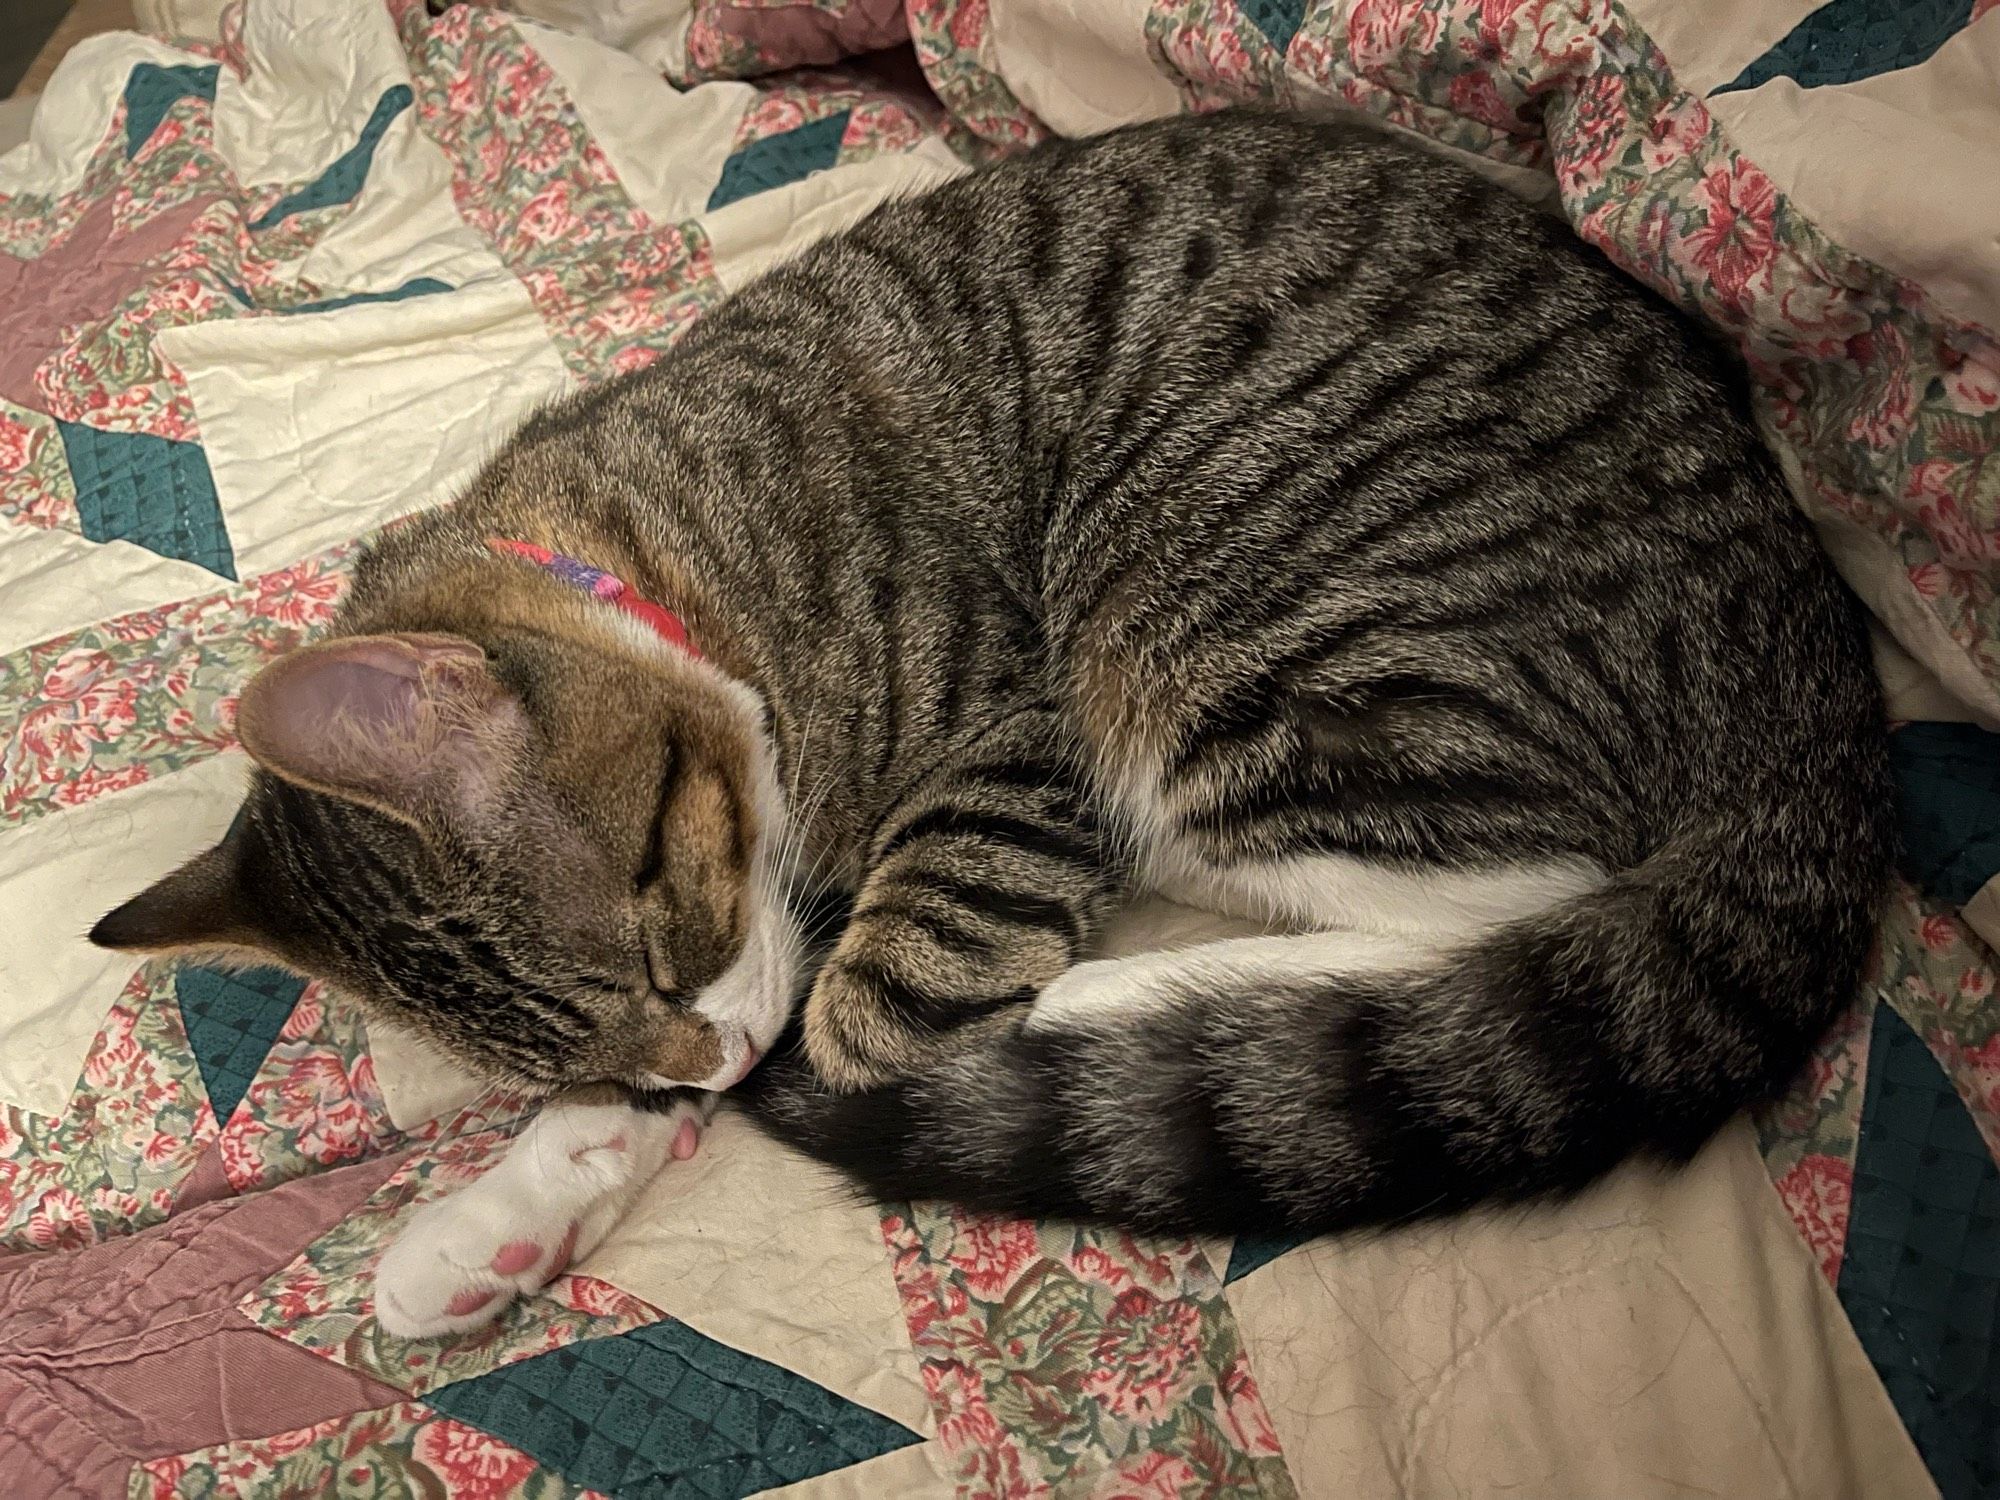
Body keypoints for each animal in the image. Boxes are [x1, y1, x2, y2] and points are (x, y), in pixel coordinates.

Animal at [90, 114, 1888, 1336]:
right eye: (595, 1031)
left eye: (660, 947)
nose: (699, 1058)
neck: (659, 557)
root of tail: (1820, 659)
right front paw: (515, 1210)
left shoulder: (1002, 742)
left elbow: (853, 1024)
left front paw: (757, 1090)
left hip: (1222, 617)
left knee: (1517, 901)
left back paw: (1120, 1005)